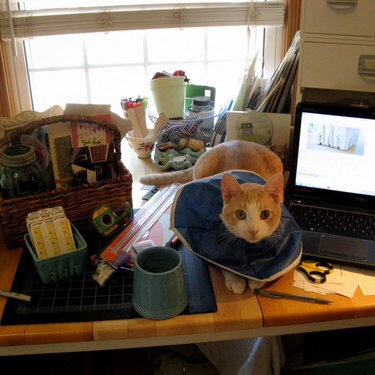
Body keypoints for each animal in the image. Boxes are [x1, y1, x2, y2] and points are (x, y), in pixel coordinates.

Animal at [140, 140, 284, 296]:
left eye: (265, 214)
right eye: (240, 214)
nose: (253, 231)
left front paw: (256, 280)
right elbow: (224, 264)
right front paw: (236, 280)